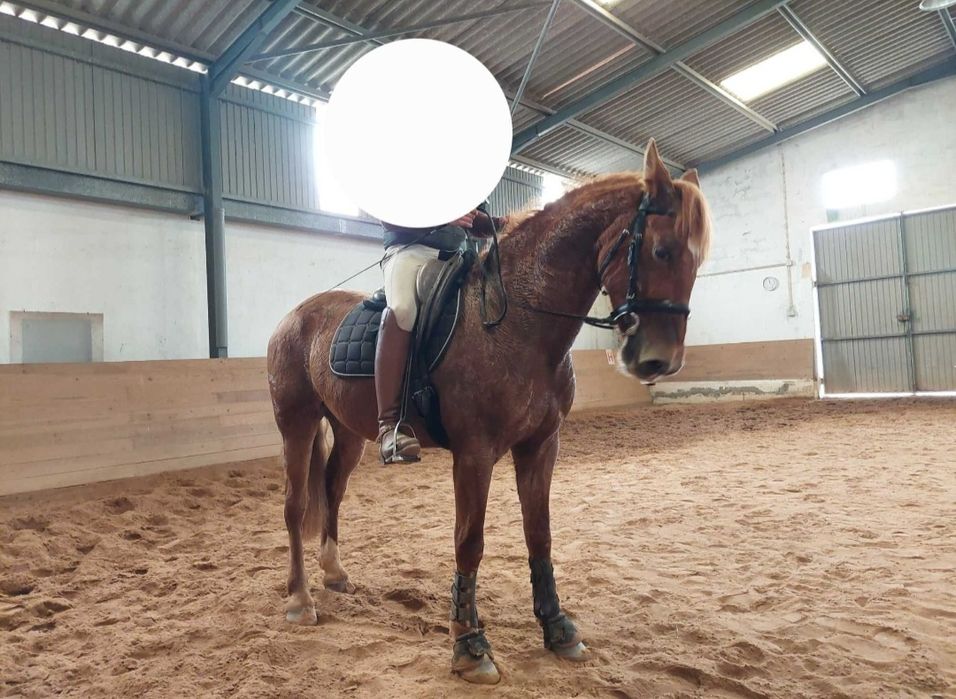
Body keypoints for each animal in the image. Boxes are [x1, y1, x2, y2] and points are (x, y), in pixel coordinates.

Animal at [266, 139, 711, 684]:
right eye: (661, 250)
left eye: (697, 261)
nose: (658, 361)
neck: (519, 320)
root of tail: (295, 314)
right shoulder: (474, 453)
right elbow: (469, 541)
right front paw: (469, 645)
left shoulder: (541, 445)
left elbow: (539, 535)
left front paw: (558, 629)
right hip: (296, 422)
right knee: (294, 505)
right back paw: (300, 600)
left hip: (348, 431)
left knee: (332, 489)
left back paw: (334, 574)